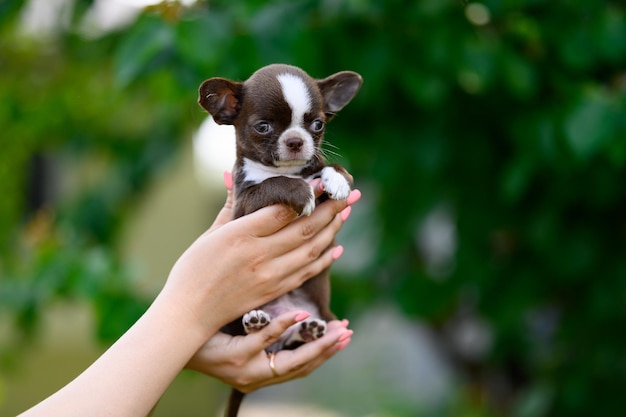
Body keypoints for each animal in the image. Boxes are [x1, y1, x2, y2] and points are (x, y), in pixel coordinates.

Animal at [195, 62, 360, 416]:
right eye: (263, 127)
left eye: (318, 124)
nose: (296, 140)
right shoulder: (246, 203)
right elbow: (273, 185)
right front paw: (298, 190)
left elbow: (335, 169)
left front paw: (336, 179)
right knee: (249, 332)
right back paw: (256, 322)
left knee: (289, 343)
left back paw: (307, 330)